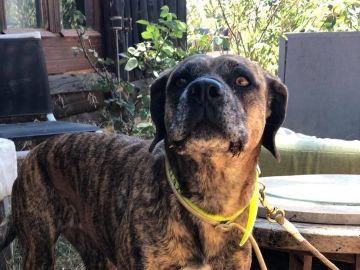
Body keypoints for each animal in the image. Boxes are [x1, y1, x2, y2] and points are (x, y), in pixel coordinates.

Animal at [0, 53, 286, 268]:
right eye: (180, 80)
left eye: (242, 80)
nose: (203, 89)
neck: (209, 200)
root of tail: (36, 151)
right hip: (39, 248)